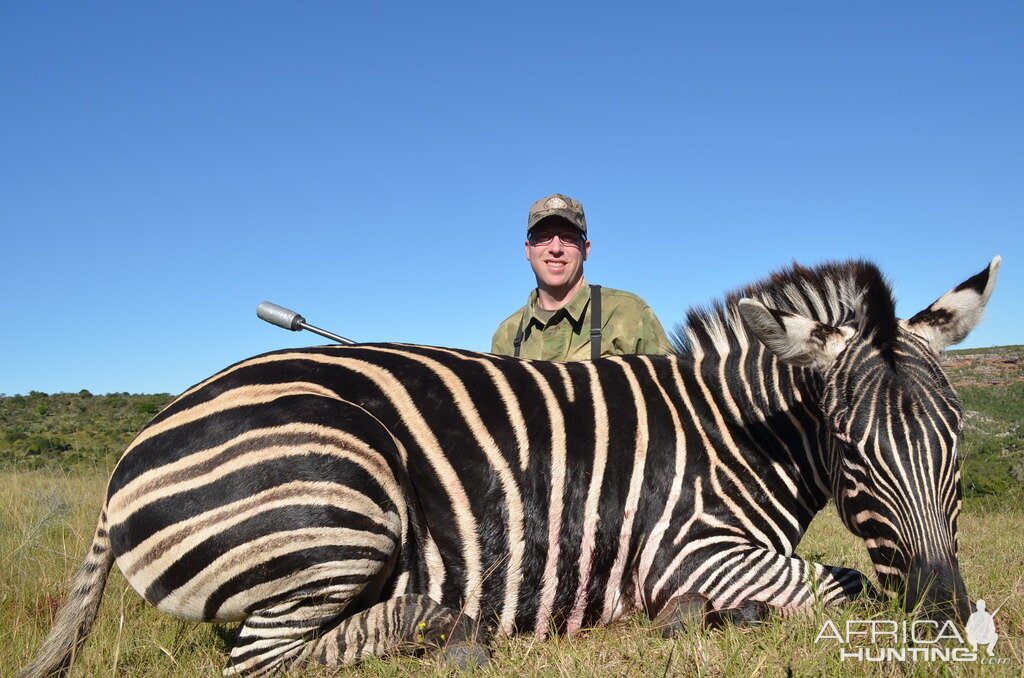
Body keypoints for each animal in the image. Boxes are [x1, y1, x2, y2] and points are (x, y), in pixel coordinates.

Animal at [18, 258, 999, 675]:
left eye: (957, 444)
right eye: (850, 450)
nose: (946, 621)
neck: (736, 434)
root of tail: (134, 448)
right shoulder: (690, 550)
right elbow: (845, 586)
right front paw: (701, 618)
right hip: (346, 495)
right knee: (264, 660)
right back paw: (444, 627)